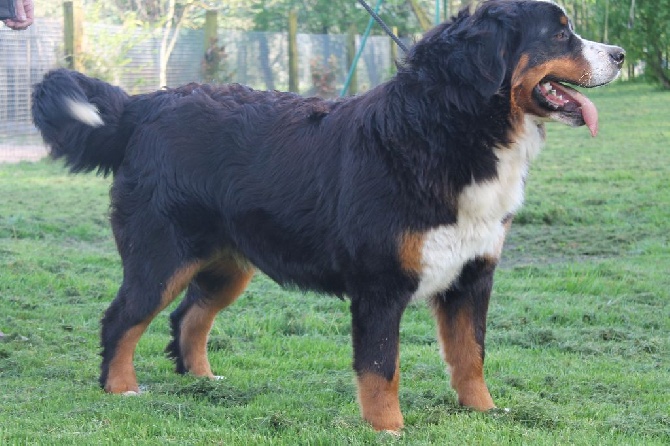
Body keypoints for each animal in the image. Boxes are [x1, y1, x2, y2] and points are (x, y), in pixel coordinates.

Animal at [31, 0, 624, 432]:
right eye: (560, 35)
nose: (619, 52)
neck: (449, 128)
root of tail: (146, 105)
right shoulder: (381, 285)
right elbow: (381, 367)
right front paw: (388, 429)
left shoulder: (471, 276)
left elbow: (470, 355)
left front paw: (484, 413)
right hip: (161, 257)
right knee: (122, 319)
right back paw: (121, 389)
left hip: (227, 265)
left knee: (189, 318)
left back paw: (203, 381)